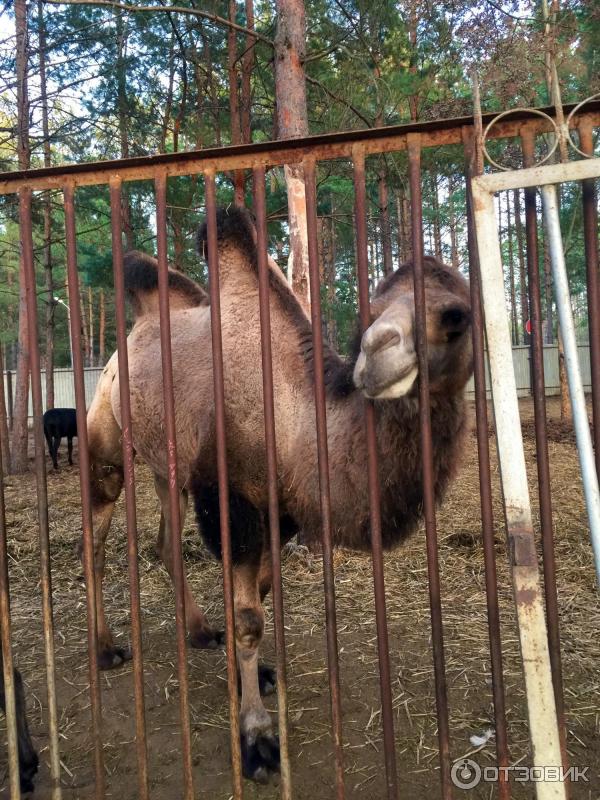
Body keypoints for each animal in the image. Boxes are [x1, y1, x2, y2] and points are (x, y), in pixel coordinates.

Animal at [88, 208, 474, 780]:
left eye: (456, 316)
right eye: (371, 312)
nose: (376, 352)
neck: (291, 411)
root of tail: (130, 339)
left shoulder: (281, 509)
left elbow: (261, 591)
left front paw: (247, 676)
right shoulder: (233, 502)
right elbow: (249, 618)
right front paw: (257, 737)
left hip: (170, 468)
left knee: (165, 542)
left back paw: (199, 632)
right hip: (108, 437)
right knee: (96, 534)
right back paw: (107, 649)